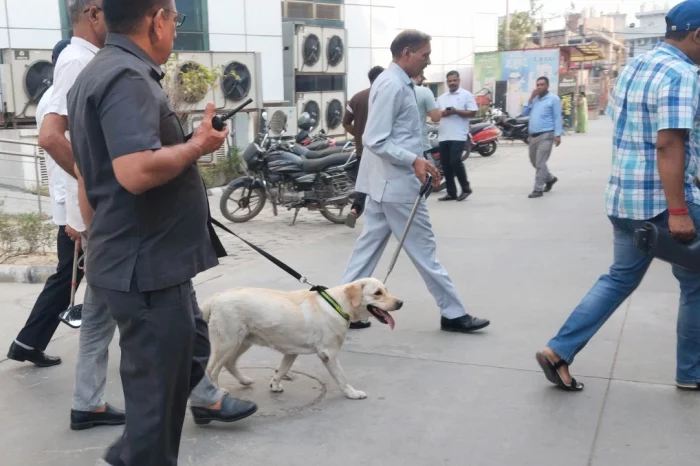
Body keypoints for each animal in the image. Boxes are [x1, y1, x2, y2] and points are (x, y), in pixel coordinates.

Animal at [200, 276, 402, 400]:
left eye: (386, 290)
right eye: (377, 293)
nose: (400, 303)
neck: (338, 305)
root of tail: (215, 298)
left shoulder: (291, 352)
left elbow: (282, 370)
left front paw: (274, 385)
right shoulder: (329, 354)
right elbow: (341, 377)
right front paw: (352, 393)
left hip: (242, 341)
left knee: (230, 363)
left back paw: (244, 380)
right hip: (228, 342)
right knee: (212, 369)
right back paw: (218, 391)